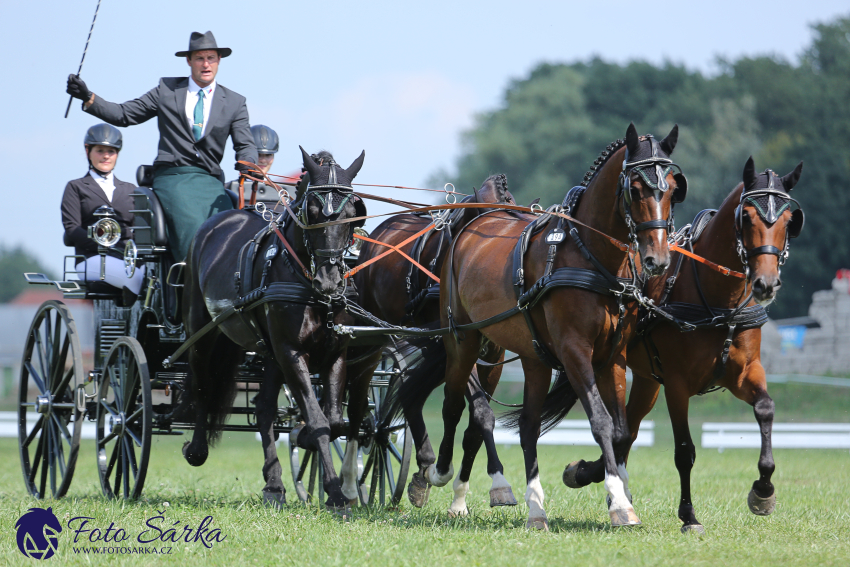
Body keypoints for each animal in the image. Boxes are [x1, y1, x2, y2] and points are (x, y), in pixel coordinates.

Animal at [181, 148, 366, 510]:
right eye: (311, 212)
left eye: (352, 213)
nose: (329, 282)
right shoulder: (291, 352)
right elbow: (319, 419)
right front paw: (336, 493)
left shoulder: (335, 352)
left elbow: (335, 421)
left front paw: (307, 445)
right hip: (203, 331)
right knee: (203, 385)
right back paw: (196, 450)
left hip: (268, 350)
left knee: (264, 408)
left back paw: (274, 485)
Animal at [342, 174, 516, 516]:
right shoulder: (458, 344)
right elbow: (480, 413)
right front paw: (497, 484)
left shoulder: (489, 353)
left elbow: (474, 424)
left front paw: (457, 497)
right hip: (373, 333)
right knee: (358, 390)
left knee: (410, 393)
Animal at [414, 123, 684, 528]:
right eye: (635, 189)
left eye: (671, 189)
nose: (657, 259)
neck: (590, 256)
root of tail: (477, 219)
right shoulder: (574, 351)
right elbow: (601, 422)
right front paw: (618, 502)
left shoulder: (612, 355)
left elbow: (621, 429)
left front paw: (597, 481)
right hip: (463, 339)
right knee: (452, 403)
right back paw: (442, 472)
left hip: (531, 355)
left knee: (527, 426)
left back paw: (535, 508)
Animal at [556, 158, 800, 536]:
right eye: (746, 217)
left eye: (789, 220)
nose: (766, 284)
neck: (719, 301)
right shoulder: (676, 384)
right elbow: (684, 451)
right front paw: (689, 515)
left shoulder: (745, 373)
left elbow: (765, 409)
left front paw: (763, 491)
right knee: (623, 430)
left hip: (646, 381)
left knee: (629, 430)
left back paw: (598, 479)